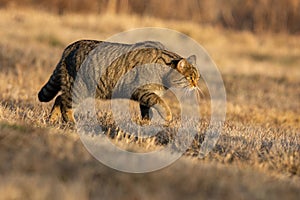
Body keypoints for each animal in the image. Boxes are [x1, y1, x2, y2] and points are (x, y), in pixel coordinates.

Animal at [38, 39, 200, 122]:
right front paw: (168, 116)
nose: (196, 85)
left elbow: (146, 112)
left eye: (197, 78)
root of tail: (71, 46)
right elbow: (160, 103)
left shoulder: (146, 96)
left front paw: (144, 125)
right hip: (78, 89)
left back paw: (52, 120)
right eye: (190, 78)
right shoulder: (142, 91)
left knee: (59, 99)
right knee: (65, 104)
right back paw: (71, 122)